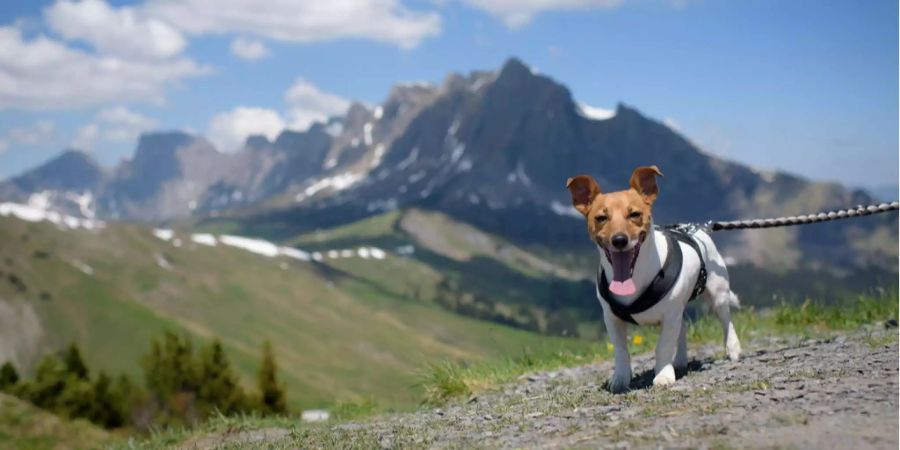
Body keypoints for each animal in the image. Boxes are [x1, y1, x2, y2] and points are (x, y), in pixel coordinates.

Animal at [568, 167, 740, 392]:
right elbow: (621, 351)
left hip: (717, 294)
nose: (619, 240)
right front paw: (620, 379)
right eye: (601, 218)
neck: (634, 277)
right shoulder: (612, 319)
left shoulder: (669, 315)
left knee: (726, 320)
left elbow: (664, 345)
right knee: (682, 329)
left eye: (634, 214)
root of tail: (696, 229)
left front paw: (663, 375)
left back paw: (733, 349)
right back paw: (680, 361)